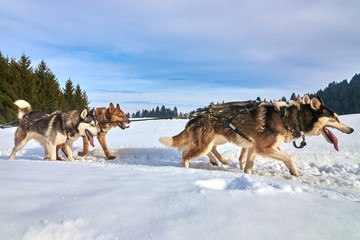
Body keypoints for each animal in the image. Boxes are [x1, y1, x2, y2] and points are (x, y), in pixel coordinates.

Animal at [161, 95, 354, 176]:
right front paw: (294, 171)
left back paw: (220, 160)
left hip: (215, 139)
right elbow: (289, 157)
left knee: (205, 149)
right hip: (206, 143)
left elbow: (248, 164)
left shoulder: (255, 147)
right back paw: (188, 171)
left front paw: (247, 175)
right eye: (335, 118)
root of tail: (195, 116)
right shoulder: (263, 148)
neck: (288, 117)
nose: (352, 130)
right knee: (186, 156)